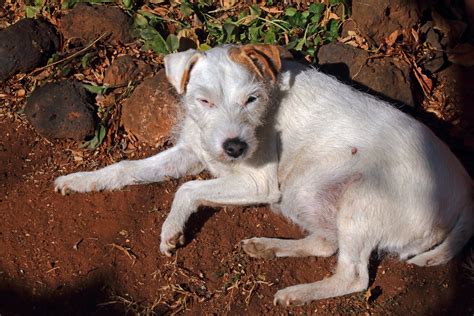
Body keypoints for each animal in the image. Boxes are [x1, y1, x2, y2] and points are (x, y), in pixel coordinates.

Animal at [52, 44, 474, 306]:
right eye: (204, 100)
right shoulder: (192, 151)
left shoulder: (256, 182)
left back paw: (297, 292)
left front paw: (171, 229)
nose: (235, 148)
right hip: (305, 194)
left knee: (354, 276)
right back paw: (268, 247)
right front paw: (82, 180)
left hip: (357, 199)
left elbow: (187, 189)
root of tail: (467, 191)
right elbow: (128, 168)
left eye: (251, 99)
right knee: (328, 244)